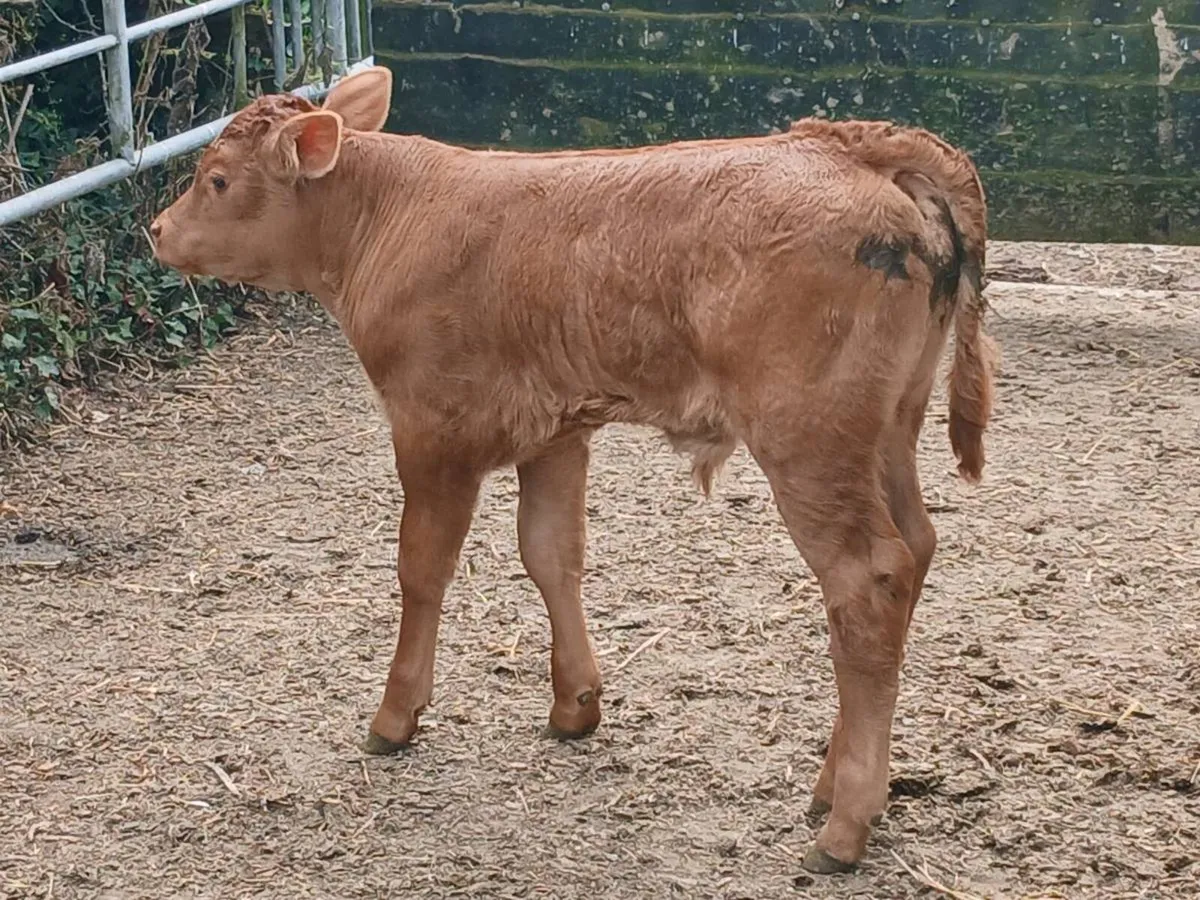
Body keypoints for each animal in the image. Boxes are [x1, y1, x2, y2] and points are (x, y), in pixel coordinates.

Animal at [150, 66, 996, 873]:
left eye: (216, 178)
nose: (156, 228)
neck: (391, 215)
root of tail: (848, 146)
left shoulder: (432, 429)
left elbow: (422, 569)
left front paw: (395, 716)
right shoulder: (554, 430)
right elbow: (551, 555)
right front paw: (575, 705)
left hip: (809, 442)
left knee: (867, 580)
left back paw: (846, 825)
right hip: (887, 430)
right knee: (916, 547)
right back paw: (833, 786)